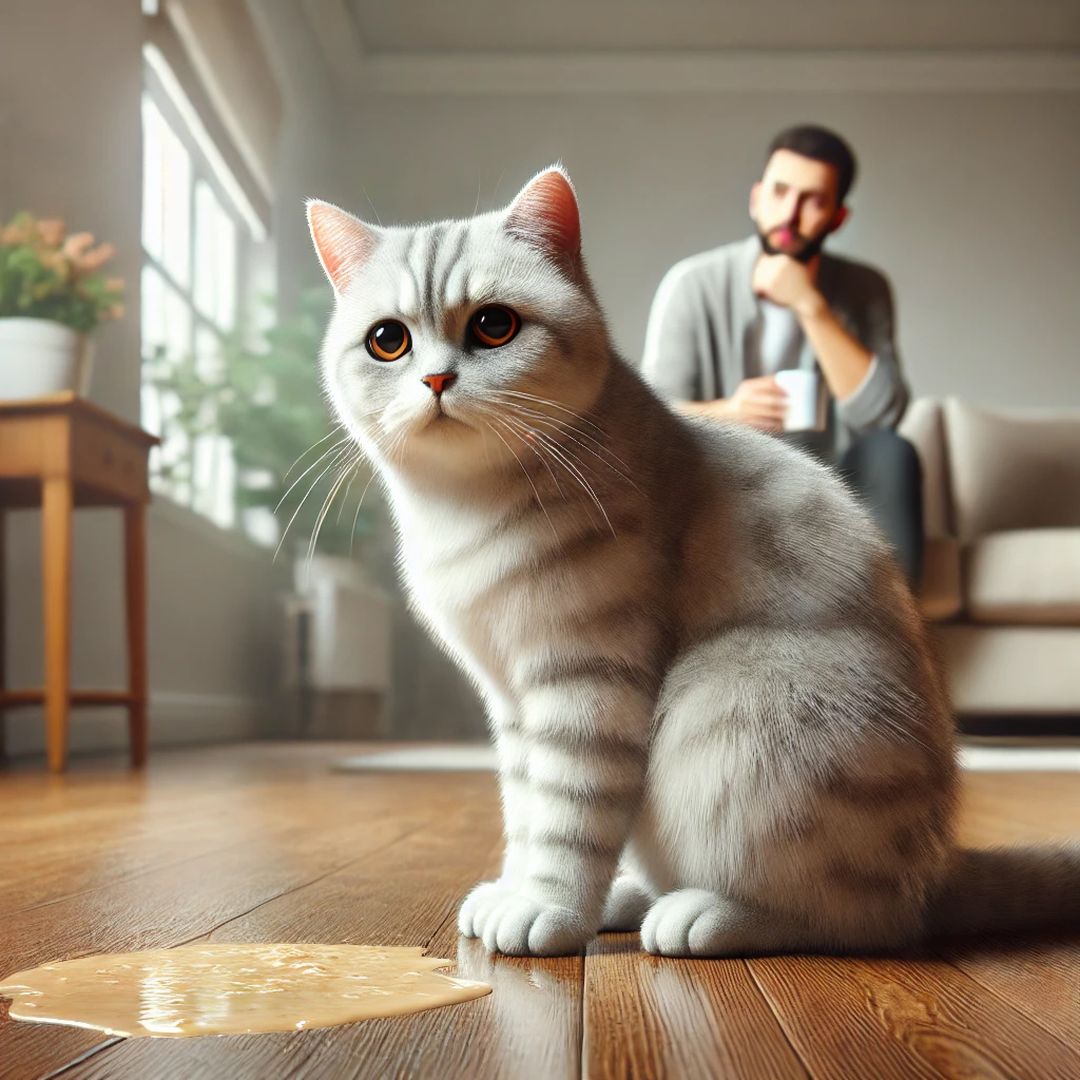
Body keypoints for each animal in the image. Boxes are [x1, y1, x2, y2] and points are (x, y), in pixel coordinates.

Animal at [306, 166, 1080, 954]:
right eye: (388, 341)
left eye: (494, 326)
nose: (435, 381)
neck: (458, 507)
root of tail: (934, 877)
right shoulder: (512, 703)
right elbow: (524, 813)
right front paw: (515, 890)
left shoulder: (584, 681)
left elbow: (566, 821)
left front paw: (546, 909)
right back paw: (627, 898)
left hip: (724, 701)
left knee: (858, 919)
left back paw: (702, 914)